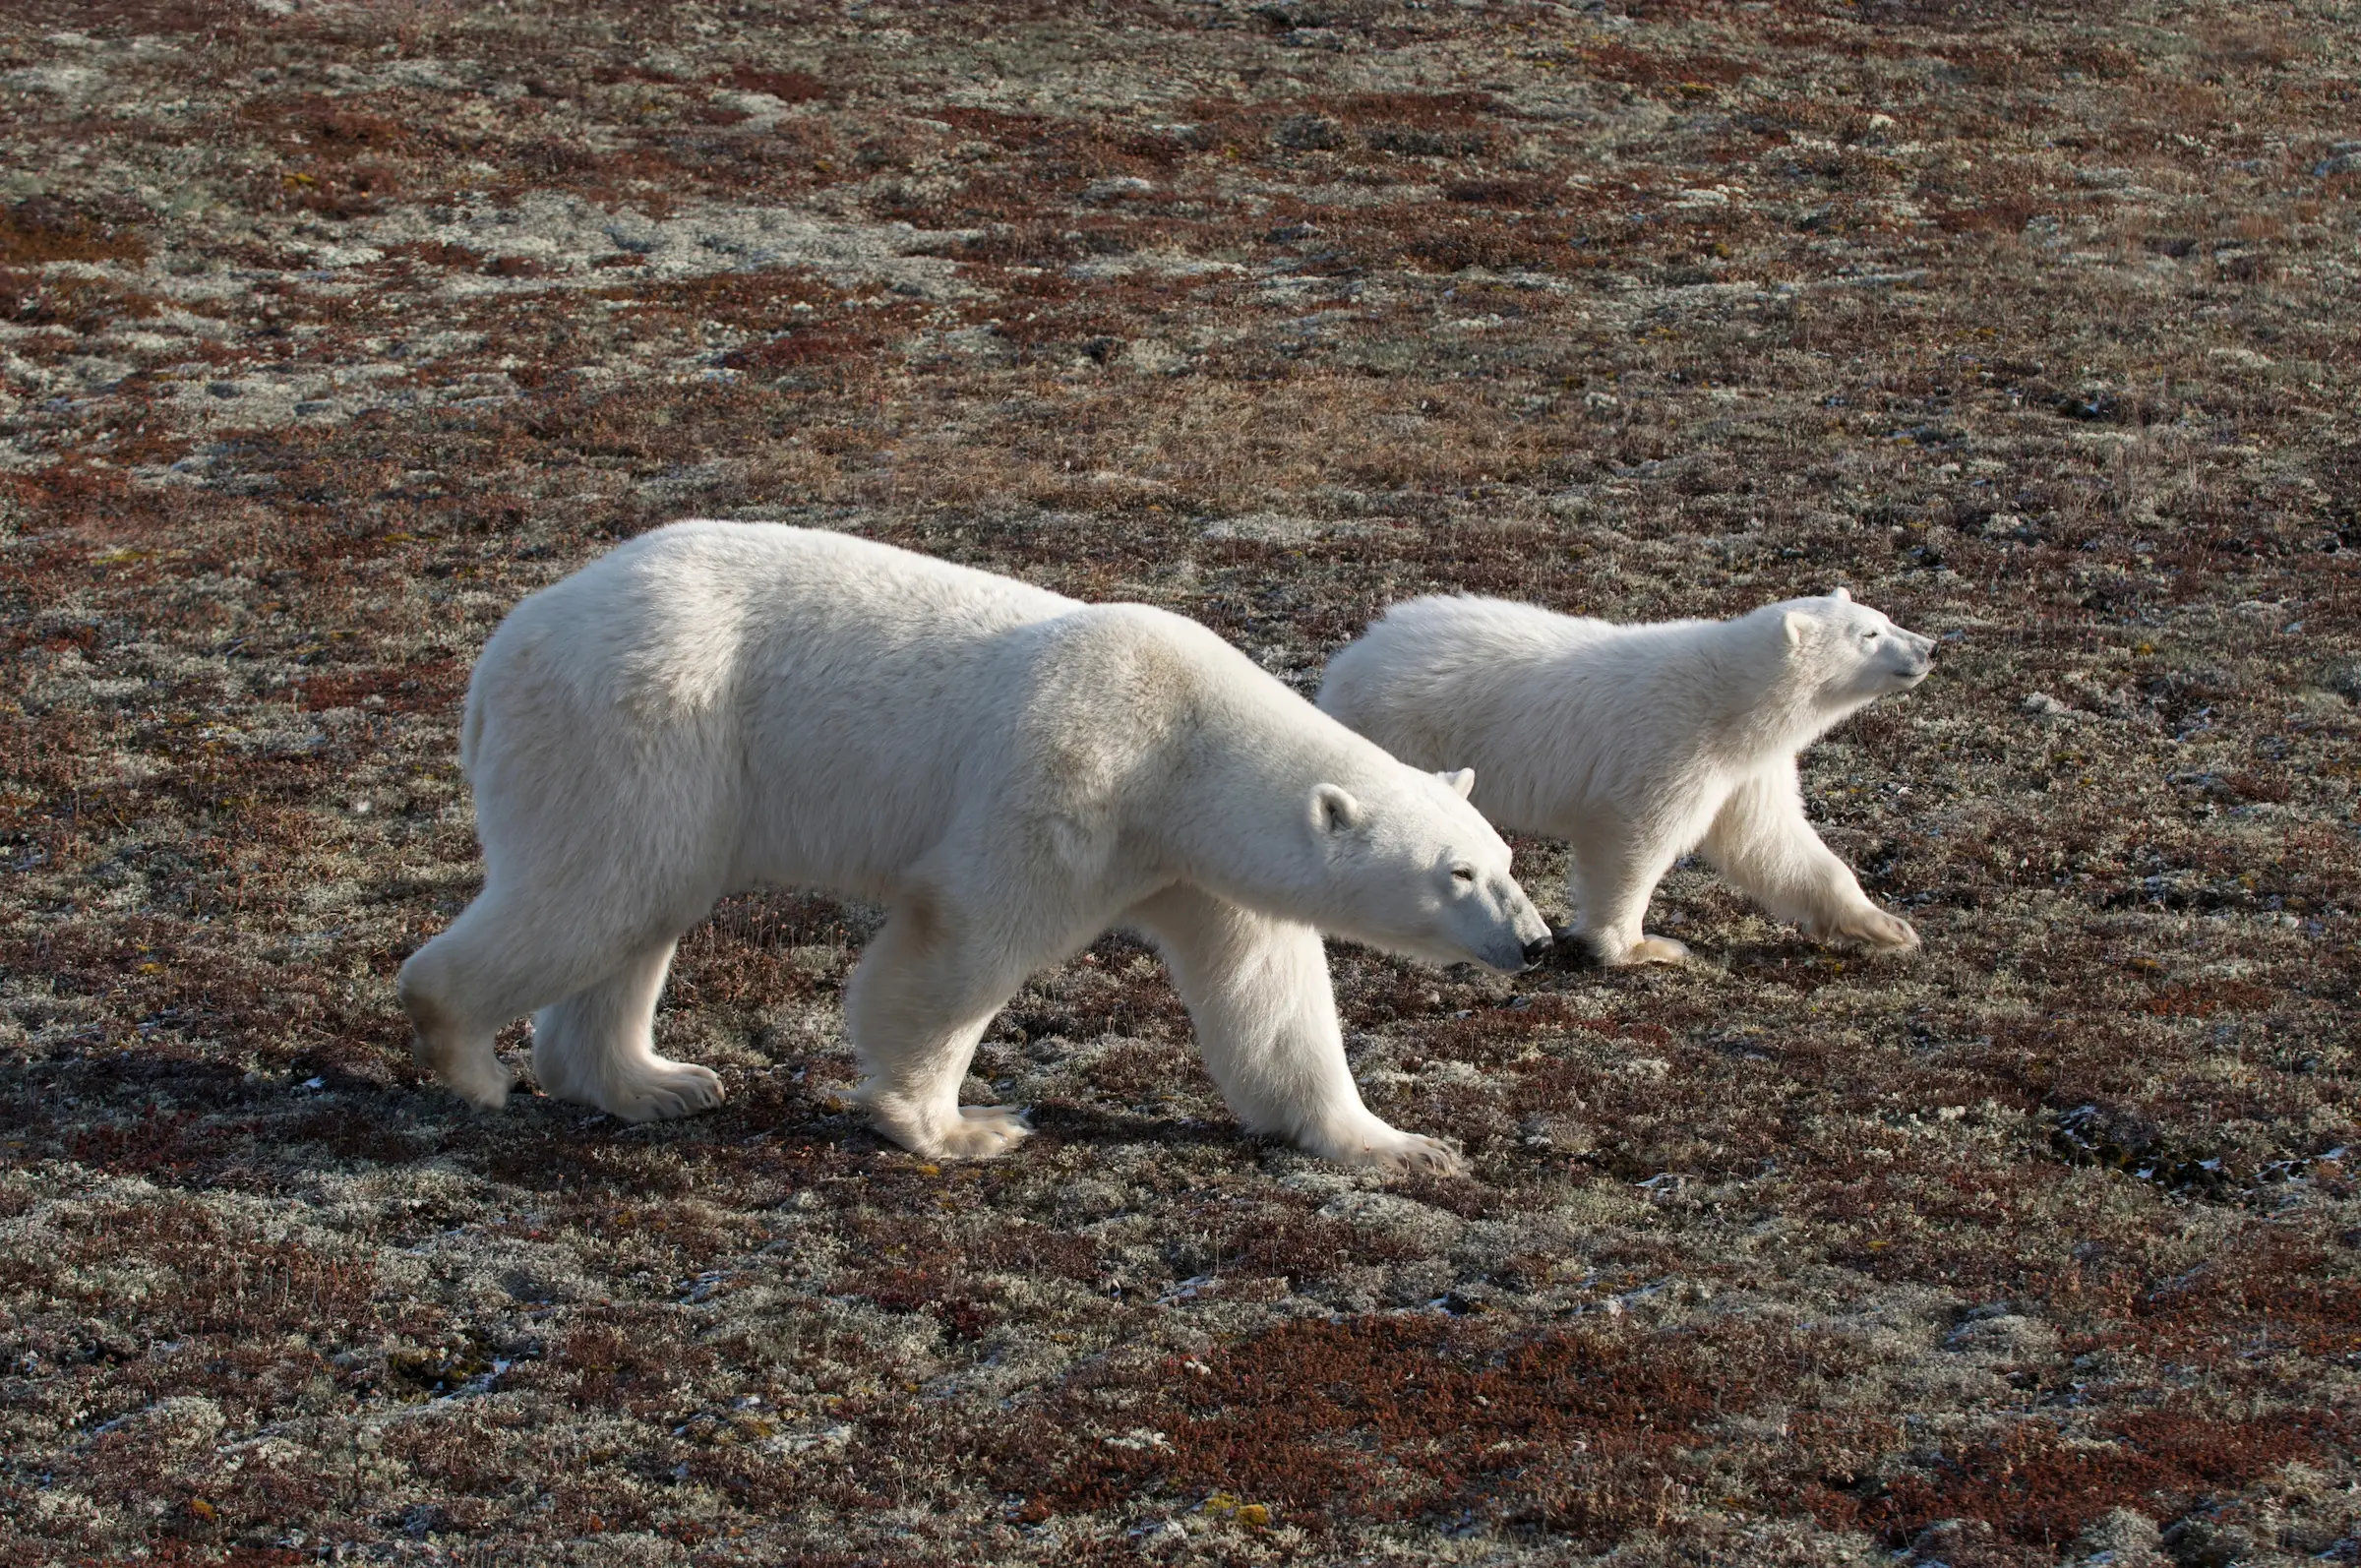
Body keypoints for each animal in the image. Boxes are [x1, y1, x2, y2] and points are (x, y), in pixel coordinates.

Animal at [396, 520, 1553, 1173]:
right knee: (603, 891)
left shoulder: (1189, 864)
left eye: (1504, 859)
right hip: (645, 723)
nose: (1537, 943)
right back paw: (468, 1055)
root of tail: (506, 648)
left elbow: (1270, 998)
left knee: (638, 903)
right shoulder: (1067, 781)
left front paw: (1401, 1144)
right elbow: (961, 947)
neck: (1181, 743)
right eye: (1457, 873)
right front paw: (955, 1126)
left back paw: (655, 1081)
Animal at [1316, 588, 1934, 967]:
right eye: (1869, 635)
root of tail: (1349, 660)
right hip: (1403, 732)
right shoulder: (1672, 748)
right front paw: (1644, 948)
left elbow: (1772, 843)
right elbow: (1636, 843)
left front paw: (1888, 927)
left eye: (1883, 619)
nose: (1930, 647)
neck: (1730, 701)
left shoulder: (1746, 771)